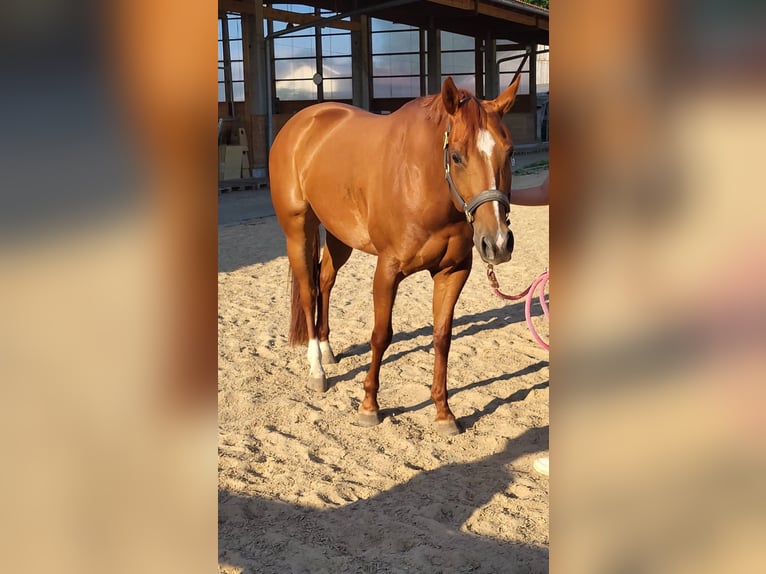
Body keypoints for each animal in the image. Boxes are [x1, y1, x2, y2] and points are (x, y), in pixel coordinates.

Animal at [269, 75, 521, 436]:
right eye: (457, 156)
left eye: (510, 152)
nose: (497, 244)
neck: (422, 182)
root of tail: (301, 123)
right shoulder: (387, 270)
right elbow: (380, 336)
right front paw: (369, 406)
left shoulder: (453, 271)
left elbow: (442, 337)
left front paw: (443, 412)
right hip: (298, 231)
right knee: (309, 290)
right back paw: (317, 369)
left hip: (339, 234)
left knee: (325, 281)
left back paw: (328, 350)